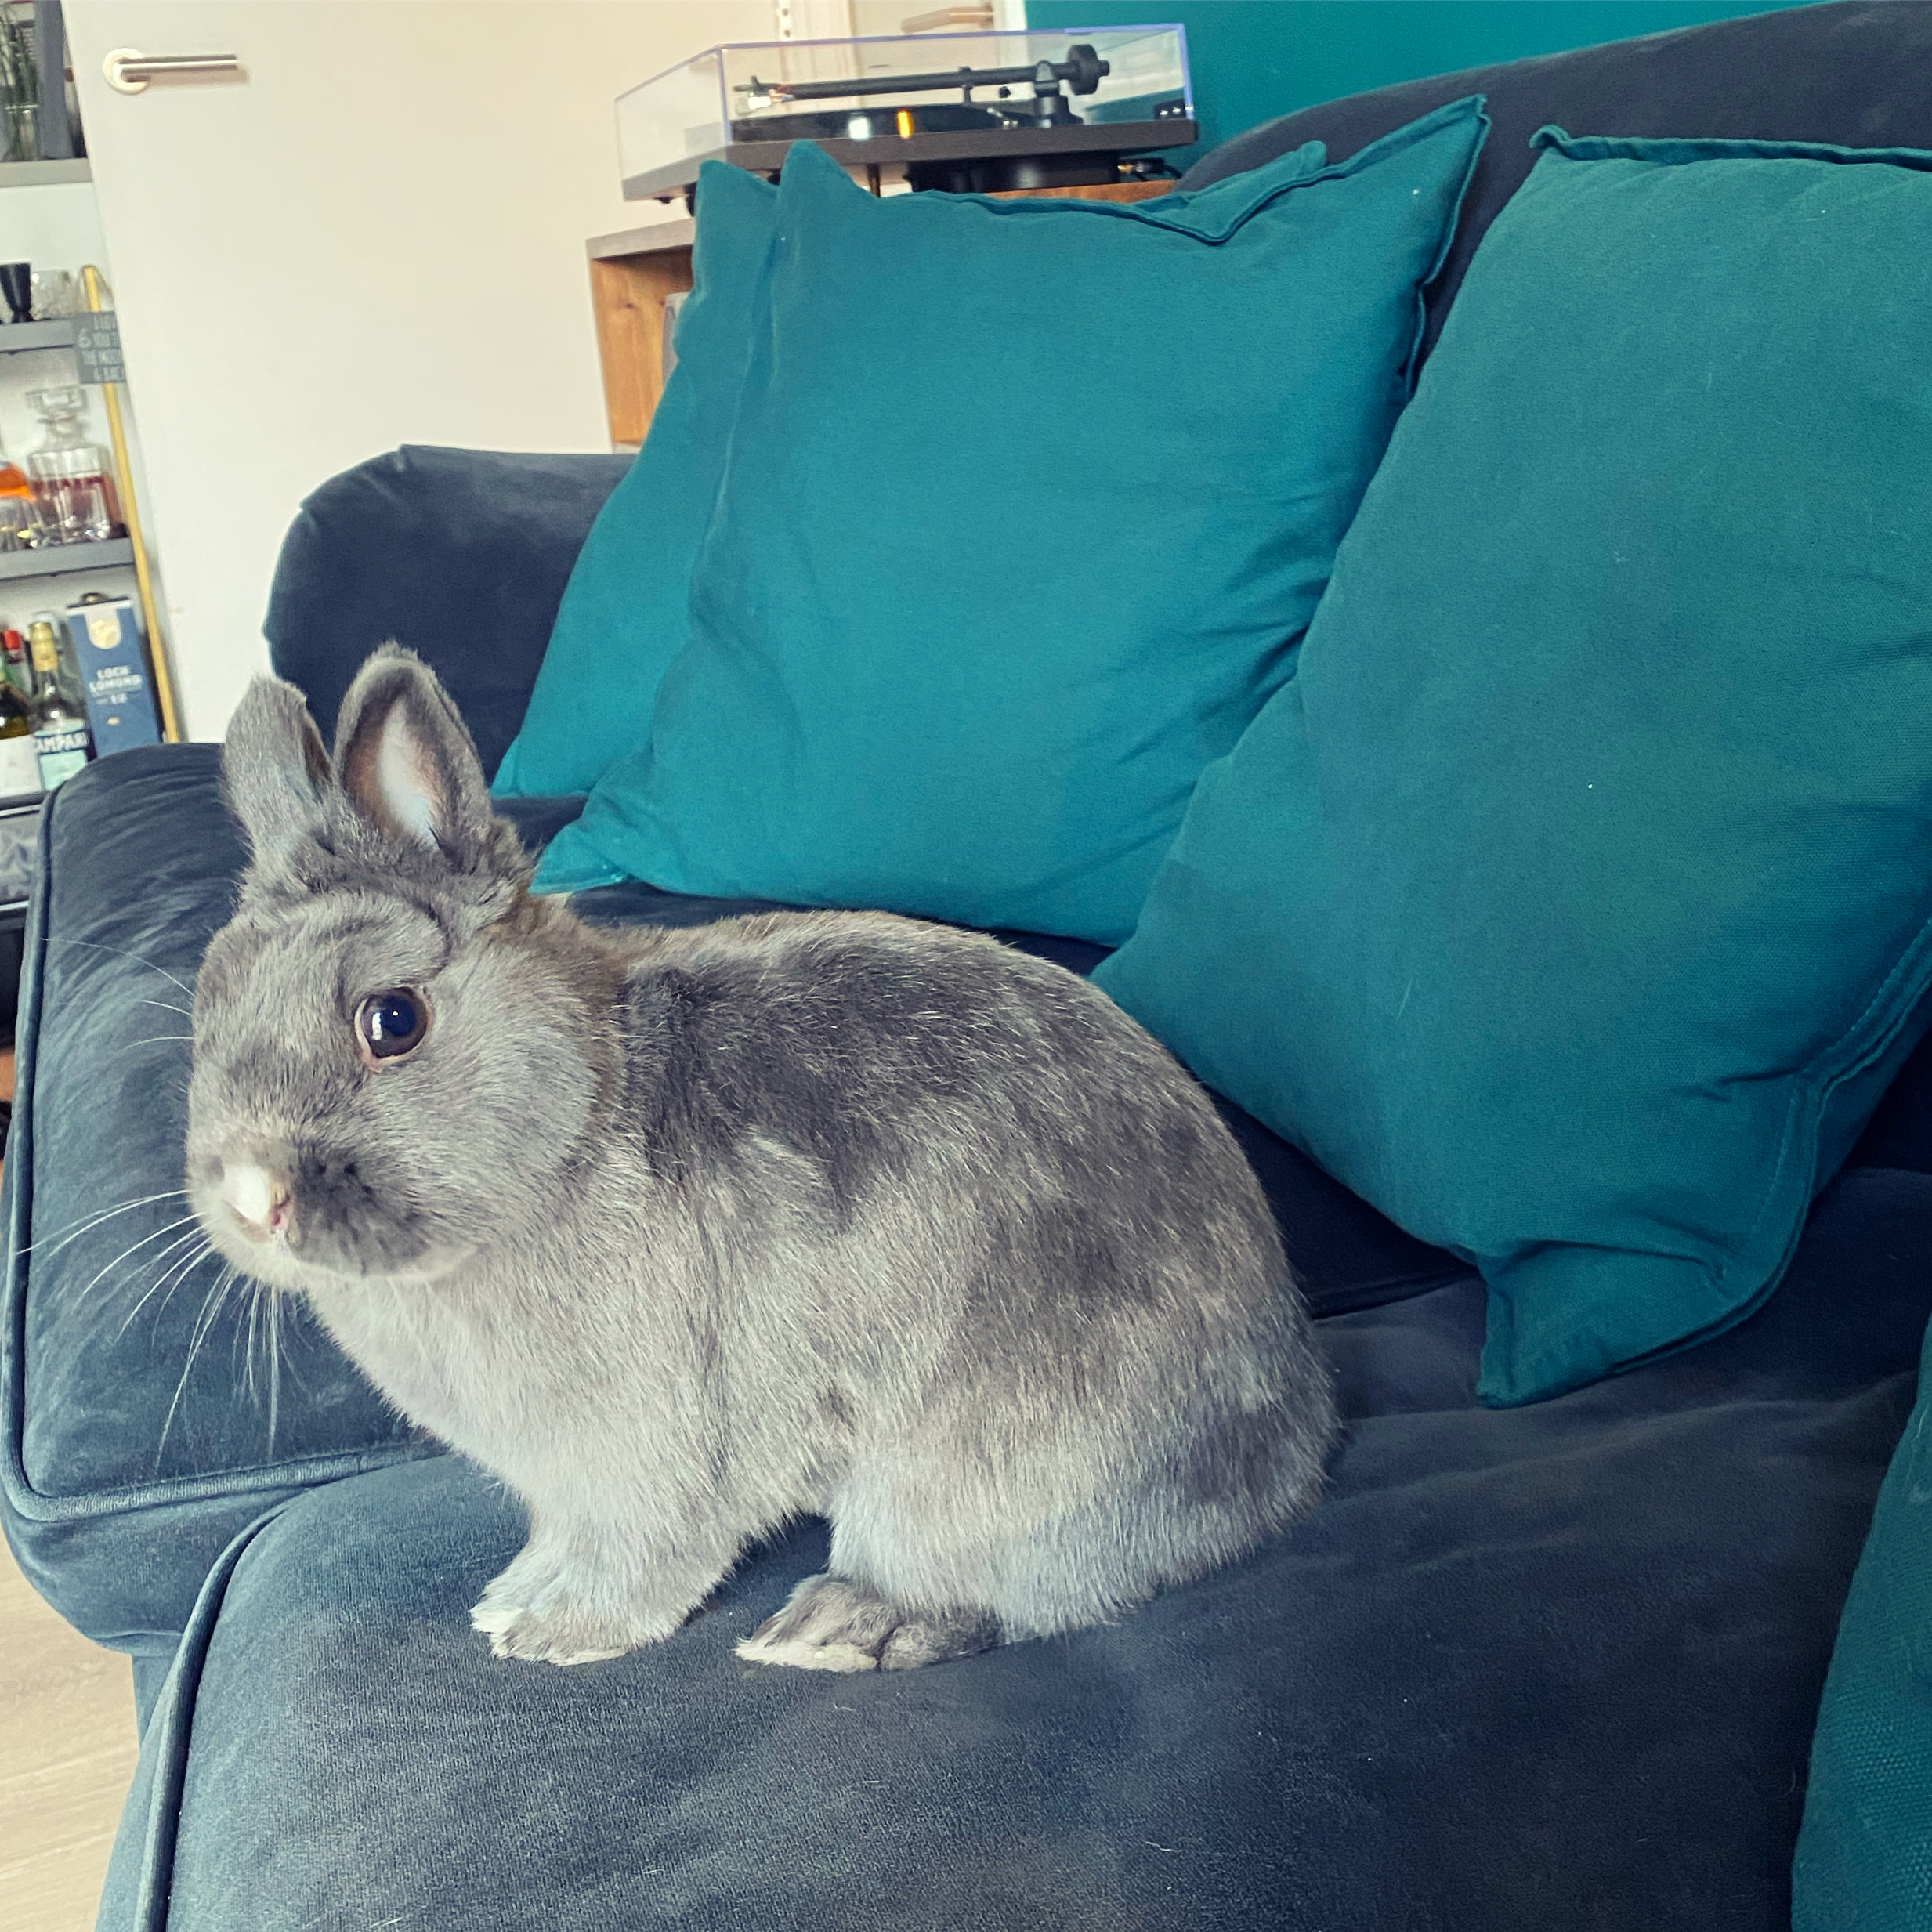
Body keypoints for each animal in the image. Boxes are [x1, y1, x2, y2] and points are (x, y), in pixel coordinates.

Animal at [185, 645, 1338, 1672]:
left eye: (393, 1020)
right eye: (205, 1018)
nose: (253, 1195)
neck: (578, 1122)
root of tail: (1296, 1433)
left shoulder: (654, 1450)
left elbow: (645, 1547)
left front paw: (558, 1634)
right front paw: (512, 1597)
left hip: (971, 1469)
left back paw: (828, 1630)